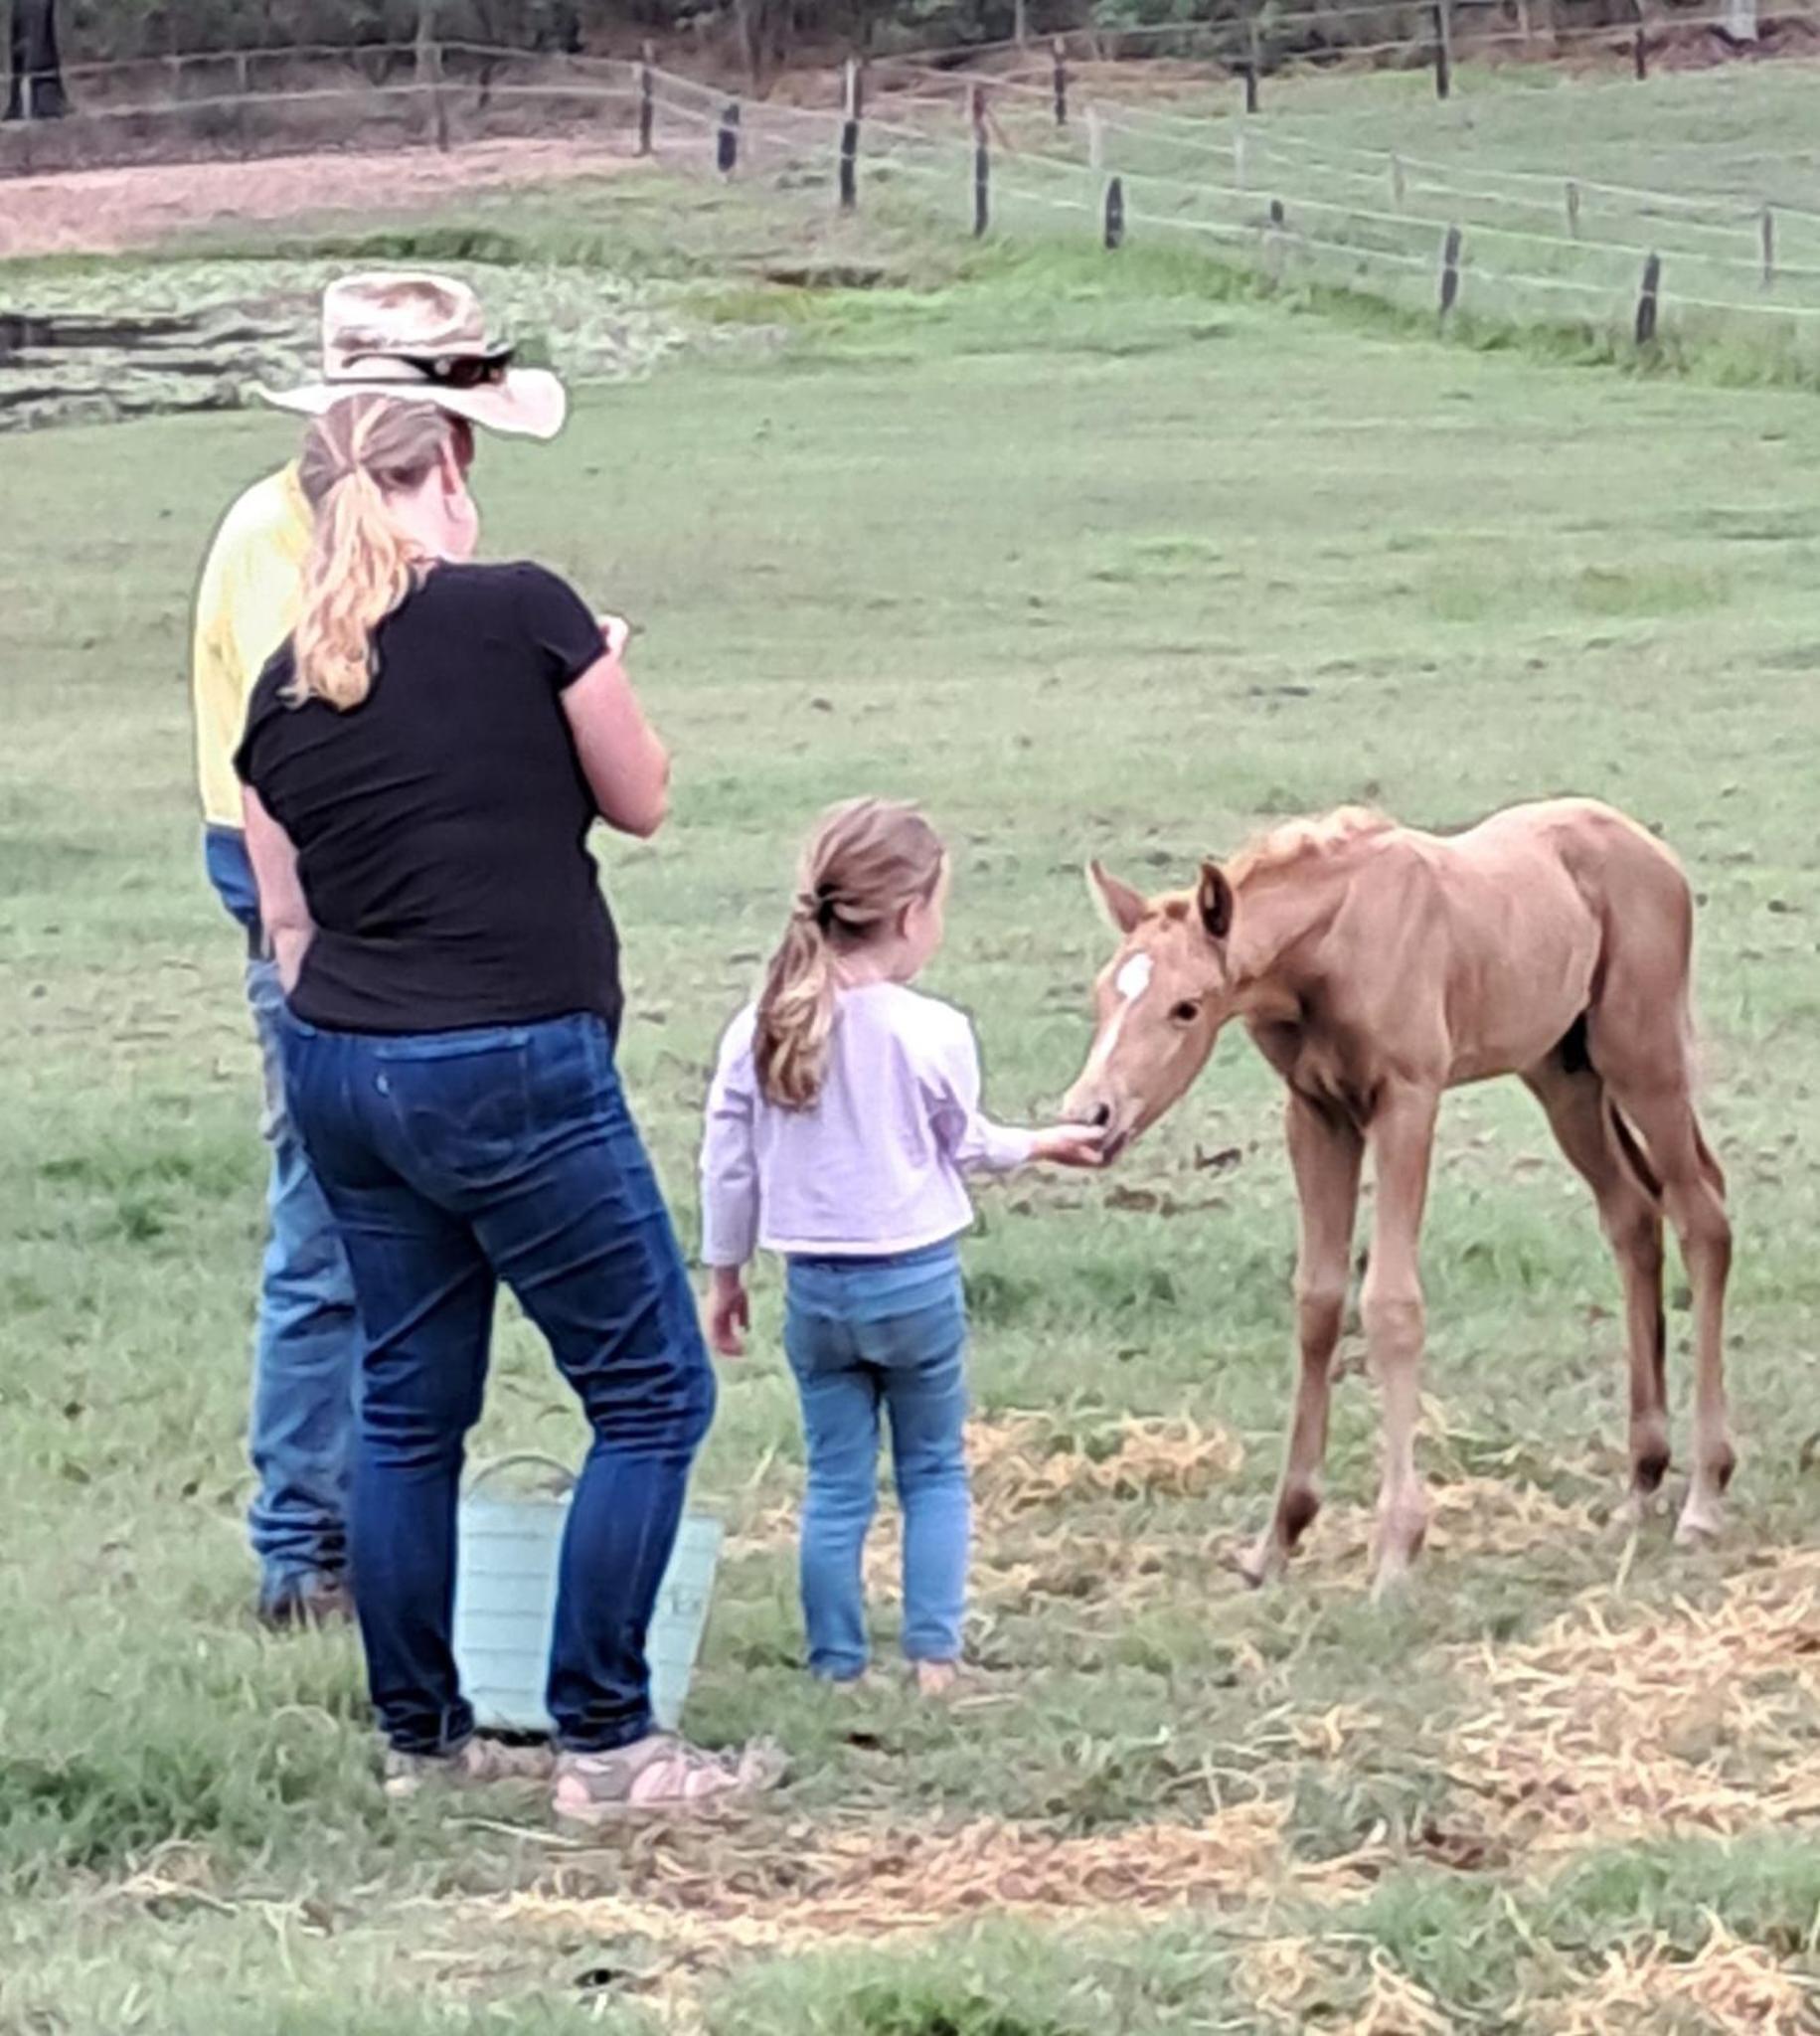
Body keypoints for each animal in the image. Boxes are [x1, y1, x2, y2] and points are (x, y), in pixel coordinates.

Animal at [1061, 799, 1733, 1593]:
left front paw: (1394, 1550)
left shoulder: (1406, 1101)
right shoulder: (1313, 1114)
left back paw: (1703, 1496)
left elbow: (1389, 1303)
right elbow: (1318, 1302)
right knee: (1632, 1216)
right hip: (1563, 1074)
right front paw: (1278, 1538)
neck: (1333, 943)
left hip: (1642, 1058)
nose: (1090, 1116)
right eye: (1103, 994)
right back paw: (1641, 1481)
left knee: (1702, 1218)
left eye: (1186, 1007)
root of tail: (1652, 851)